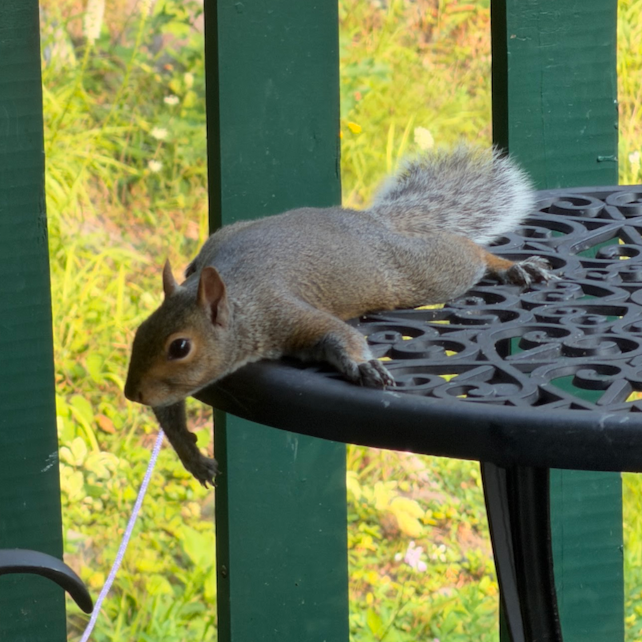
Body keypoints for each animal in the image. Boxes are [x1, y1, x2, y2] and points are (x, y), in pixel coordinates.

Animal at [124, 145, 556, 485]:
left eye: (180, 347)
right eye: (139, 332)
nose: (132, 394)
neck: (240, 300)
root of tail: (370, 220)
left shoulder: (283, 312)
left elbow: (338, 333)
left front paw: (363, 366)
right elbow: (168, 409)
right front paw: (191, 454)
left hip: (415, 276)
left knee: (465, 251)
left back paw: (510, 266)